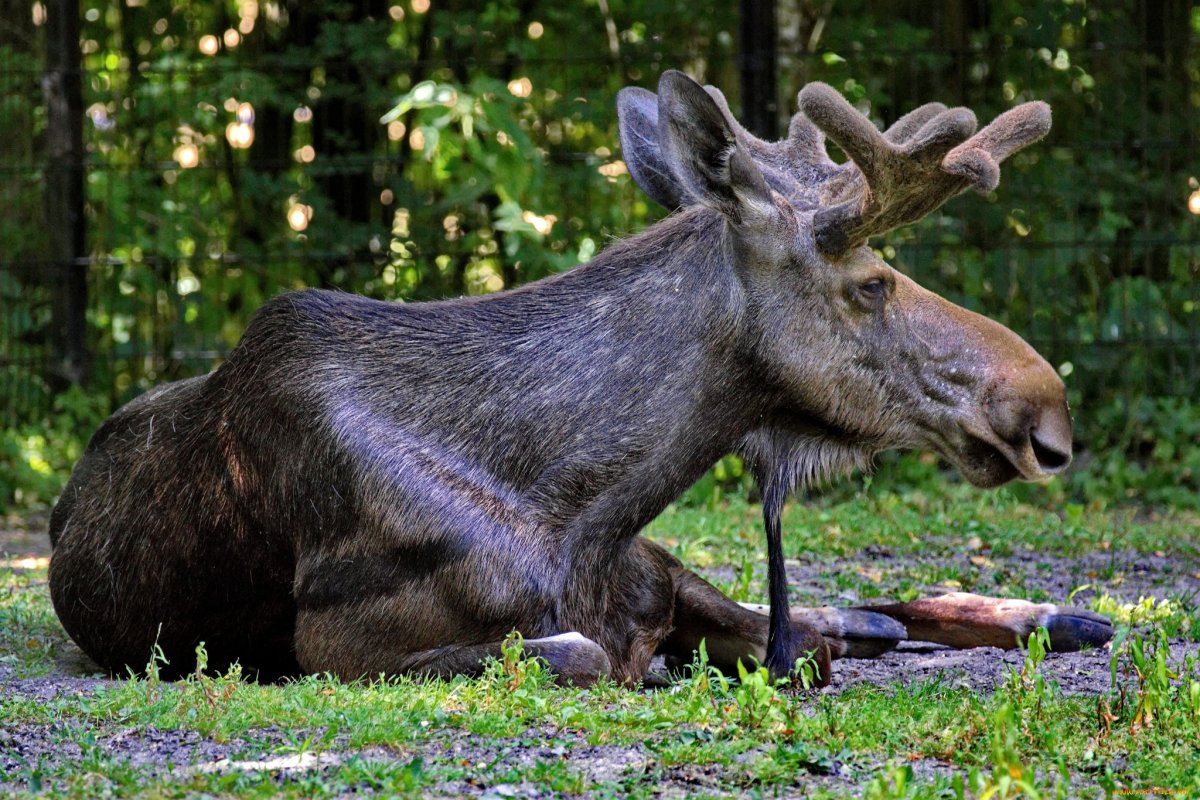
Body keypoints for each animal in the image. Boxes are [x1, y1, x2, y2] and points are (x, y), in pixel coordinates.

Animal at [48, 71, 1113, 689]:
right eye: (872, 283)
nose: (1047, 411)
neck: (581, 513)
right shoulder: (334, 647)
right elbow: (586, 650)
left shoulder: (648, 574)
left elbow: (787, 635)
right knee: (852, 619)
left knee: (853, 613)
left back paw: (1057, 613)